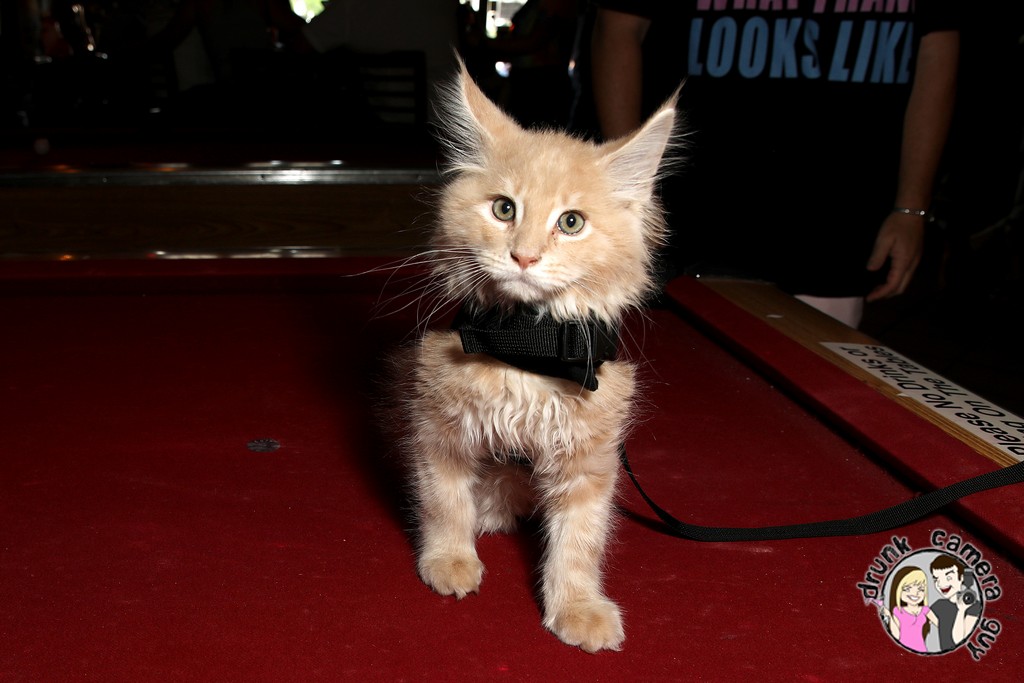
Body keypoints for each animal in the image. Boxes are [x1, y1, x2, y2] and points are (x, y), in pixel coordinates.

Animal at [399, 59, 678, 653]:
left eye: (571, 222)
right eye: (504, 209)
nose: (523, 256)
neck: (527, 348)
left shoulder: (591, 457)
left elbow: (580, 541)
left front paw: (577, 606)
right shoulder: (437, 427)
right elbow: (444, 502)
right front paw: (449, 559)